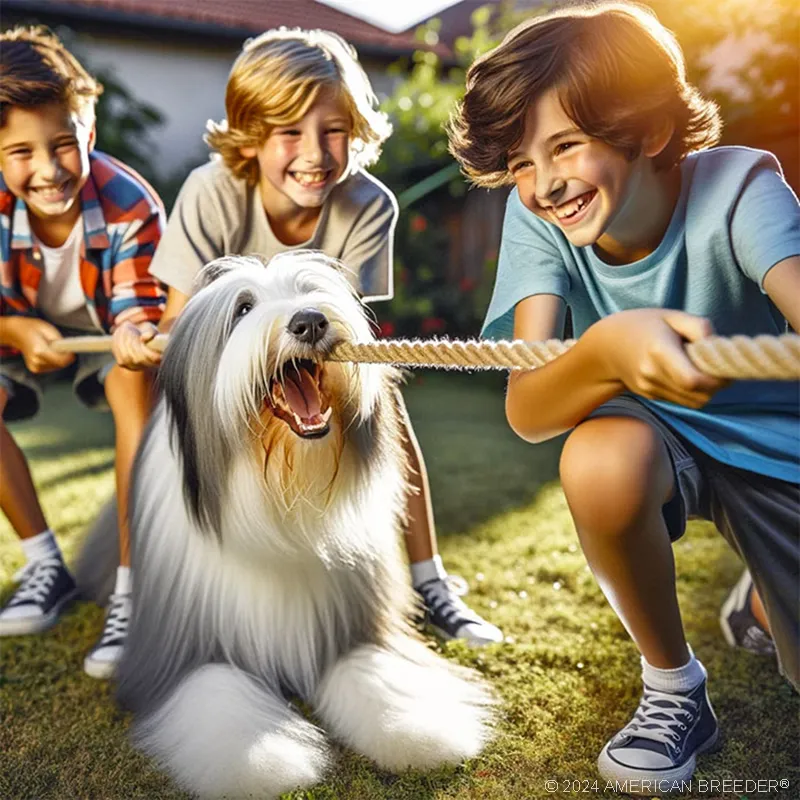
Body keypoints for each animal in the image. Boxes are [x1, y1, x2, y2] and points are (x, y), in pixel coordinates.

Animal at [81, 252, 494, 800]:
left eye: (310, 291)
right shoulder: (178, 649)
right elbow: (218, 694)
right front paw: (262, 763)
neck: (279, 493)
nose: (310, 322)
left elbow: (373, 671)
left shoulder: (349, 620)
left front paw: (419, 732)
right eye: (242, 308)